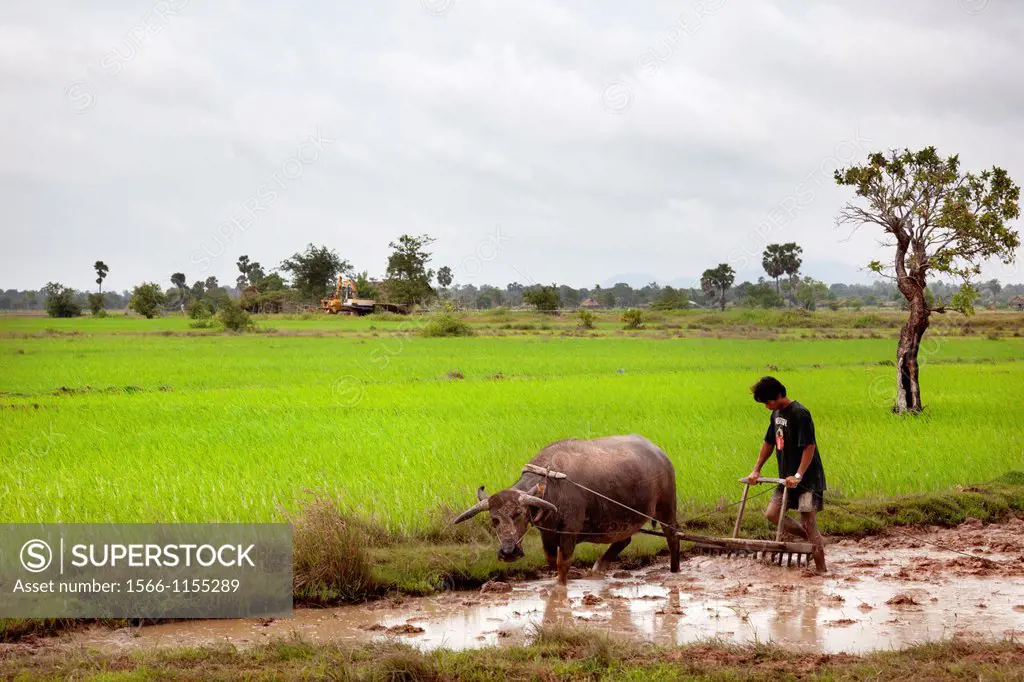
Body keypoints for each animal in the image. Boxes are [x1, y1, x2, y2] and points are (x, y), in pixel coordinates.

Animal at [454, 432, 679, 581]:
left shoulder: (570, 531)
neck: (551, 487)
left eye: (518, 513)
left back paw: (674, 571)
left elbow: (563, 564)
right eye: (494, 520)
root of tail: (661, 455)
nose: (508, 552)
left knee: (672, 537)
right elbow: (551, 560)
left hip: (667, 507)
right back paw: (599, 567)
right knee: (624, 540)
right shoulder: (547, 533)